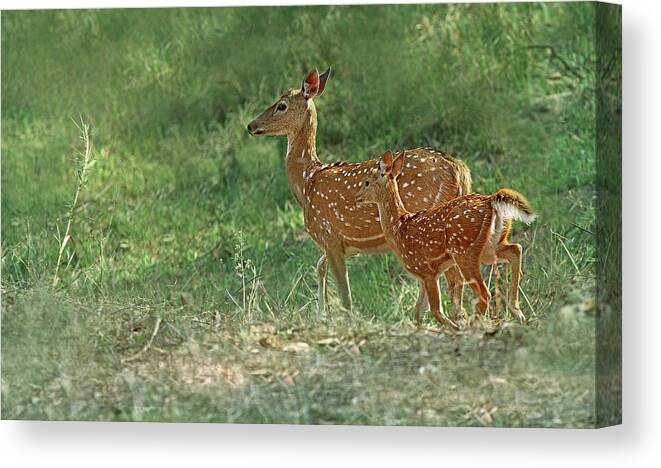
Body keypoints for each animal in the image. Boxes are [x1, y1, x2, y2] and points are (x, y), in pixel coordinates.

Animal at [246, 68, 470, 318]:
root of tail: (459, 169)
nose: (251, 125)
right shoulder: (349, 244)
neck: (307, 183)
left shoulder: (329, 235)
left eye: (281, 105)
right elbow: (320, 266)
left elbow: (345, 297)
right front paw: (322, 314)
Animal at [356, 152, 536, 328]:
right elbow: (419, 312)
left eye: (366, 182)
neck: (398, 228)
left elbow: (435, 311)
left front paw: (456, 328)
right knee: (516, 249)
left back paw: (475, 324)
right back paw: (517, 313)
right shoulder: (424, 275)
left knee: (485, 293)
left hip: (465, 251)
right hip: (491, 246)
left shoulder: (425, 269)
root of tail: (491, 201)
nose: (357, 197)